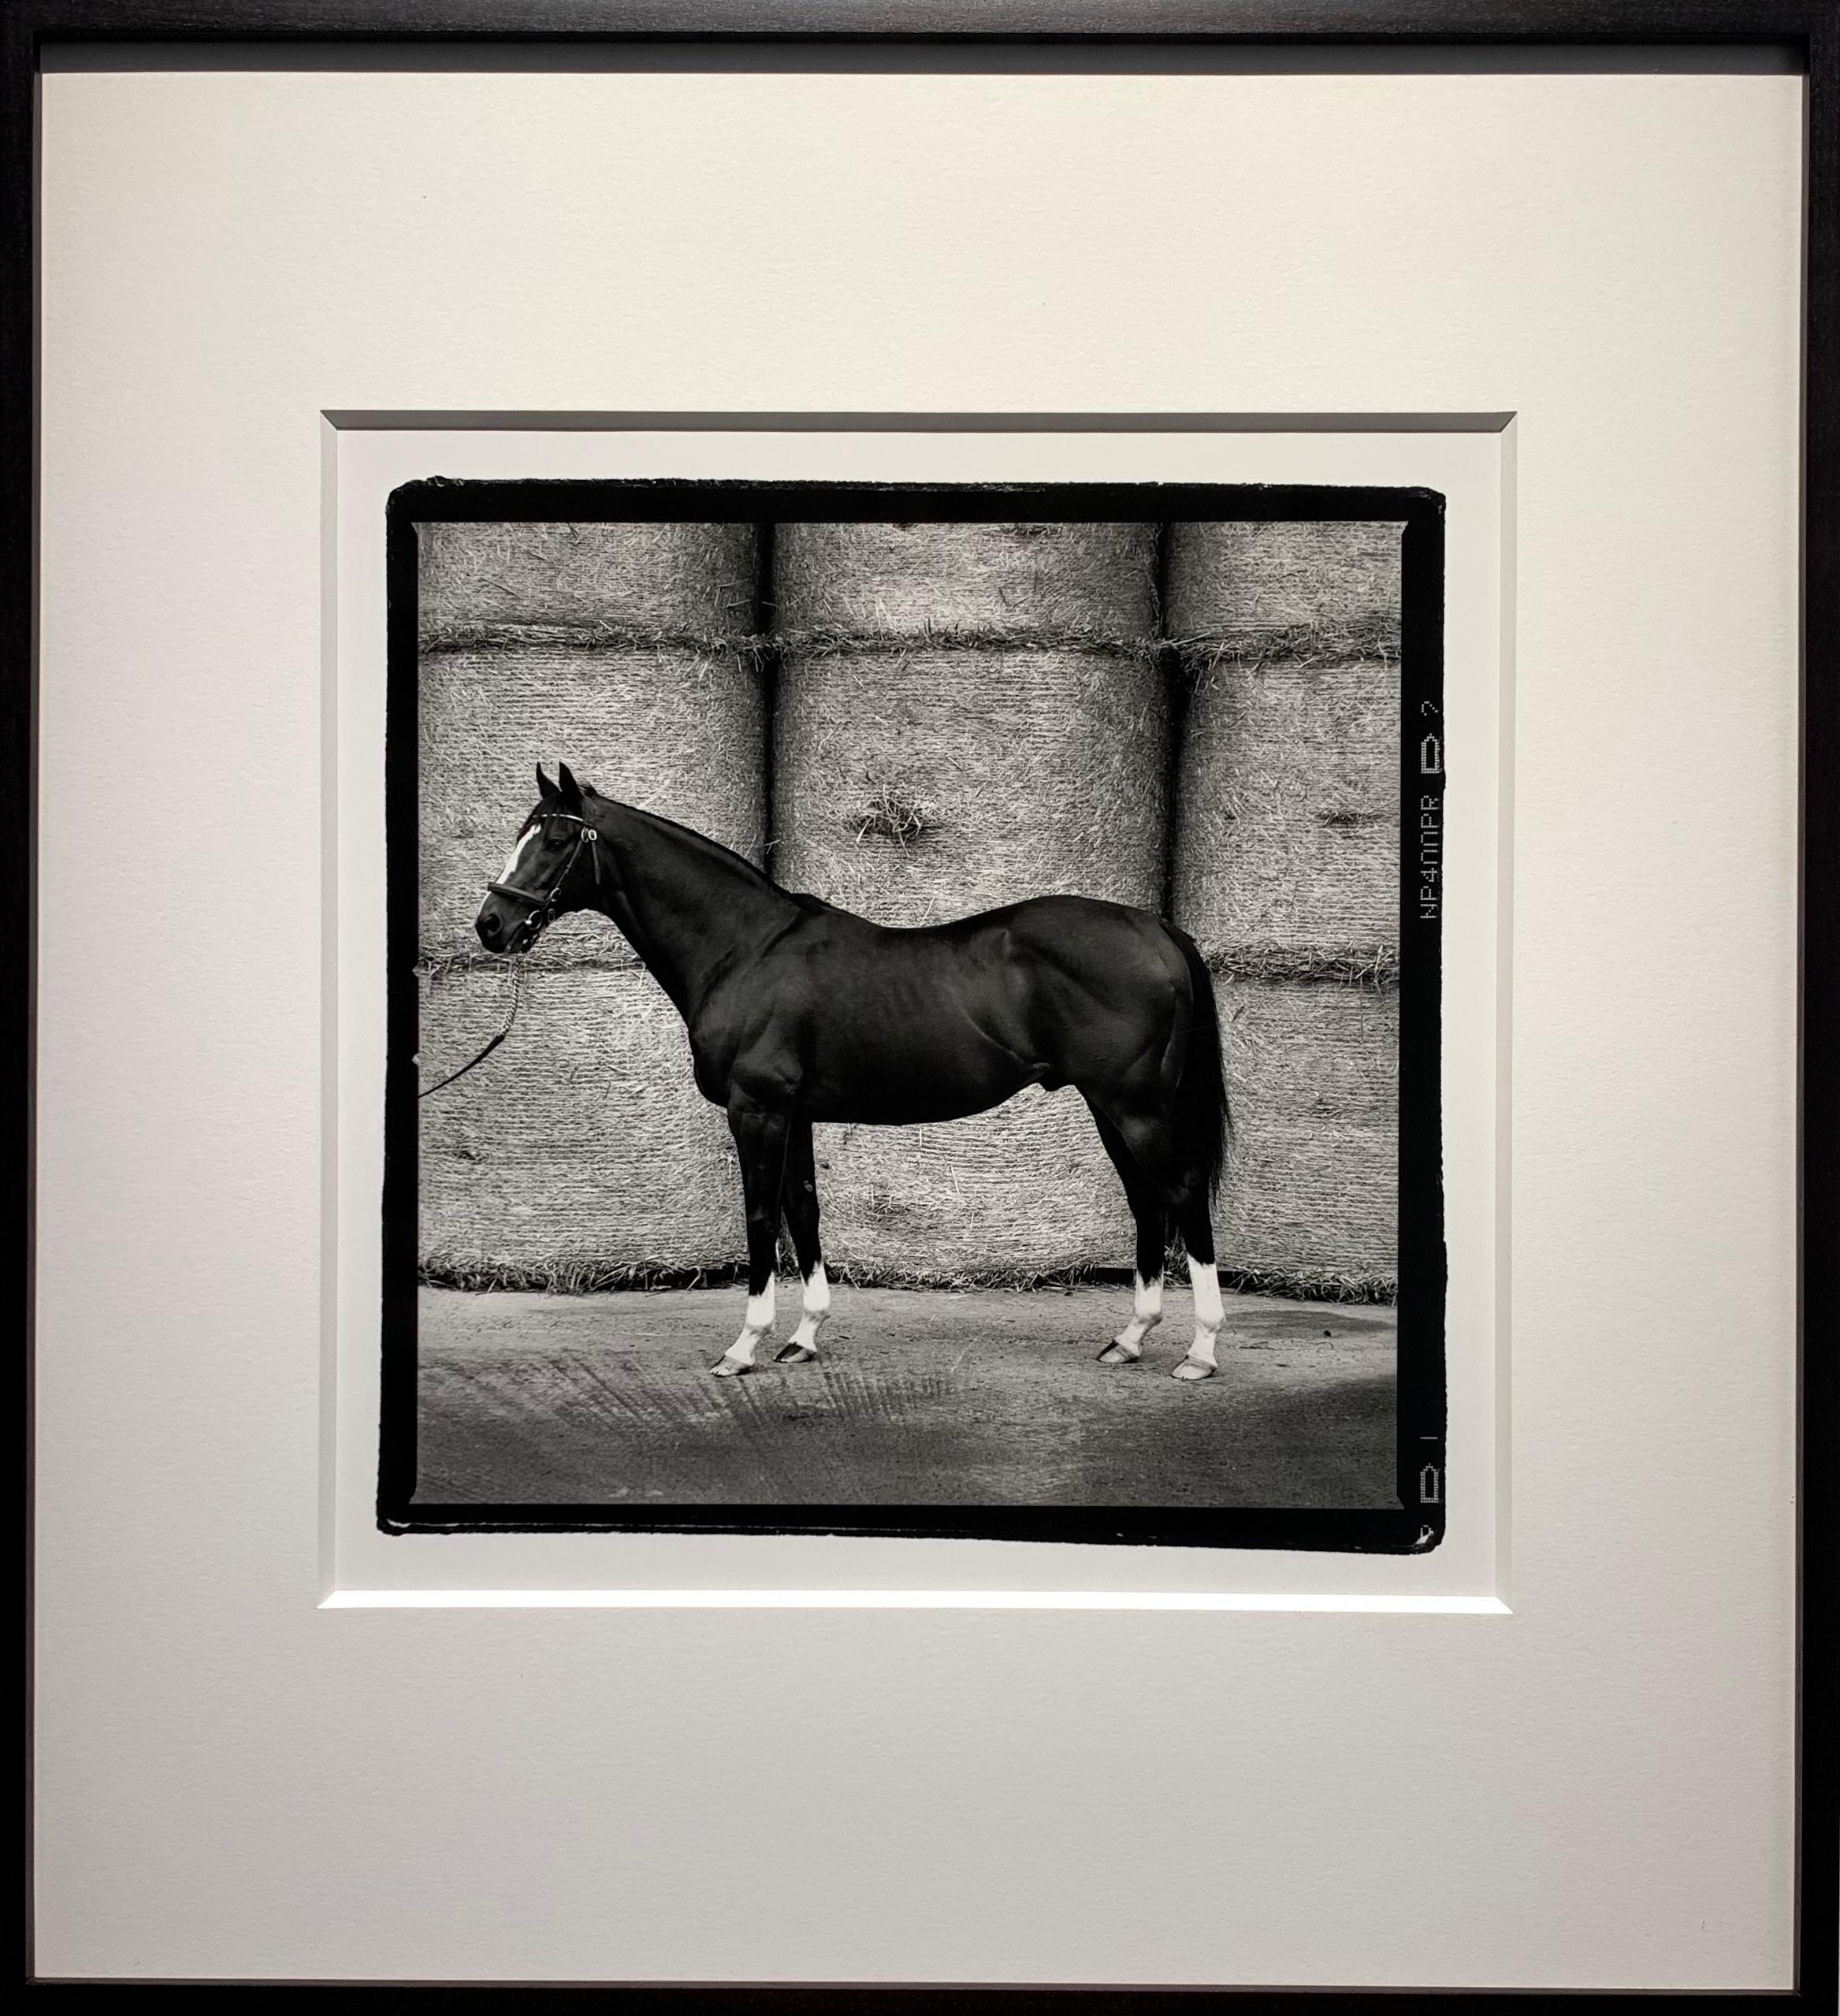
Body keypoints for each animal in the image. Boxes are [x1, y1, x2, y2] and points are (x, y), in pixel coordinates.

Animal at [471, 762, 1230, 1381]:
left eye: (556, 840)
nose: (491, 925)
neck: (744, 950)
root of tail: (1154, 929)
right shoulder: (796, 1113)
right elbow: (803, 1211)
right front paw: (803, 1339)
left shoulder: (757, 1109)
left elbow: (759, 1217)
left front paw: (743, 1349)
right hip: (1111, 1109)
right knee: (1147, 1203)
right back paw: (1129, 1339)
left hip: (1133, 1107)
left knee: (1182, 1194)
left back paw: (1199, 1352)